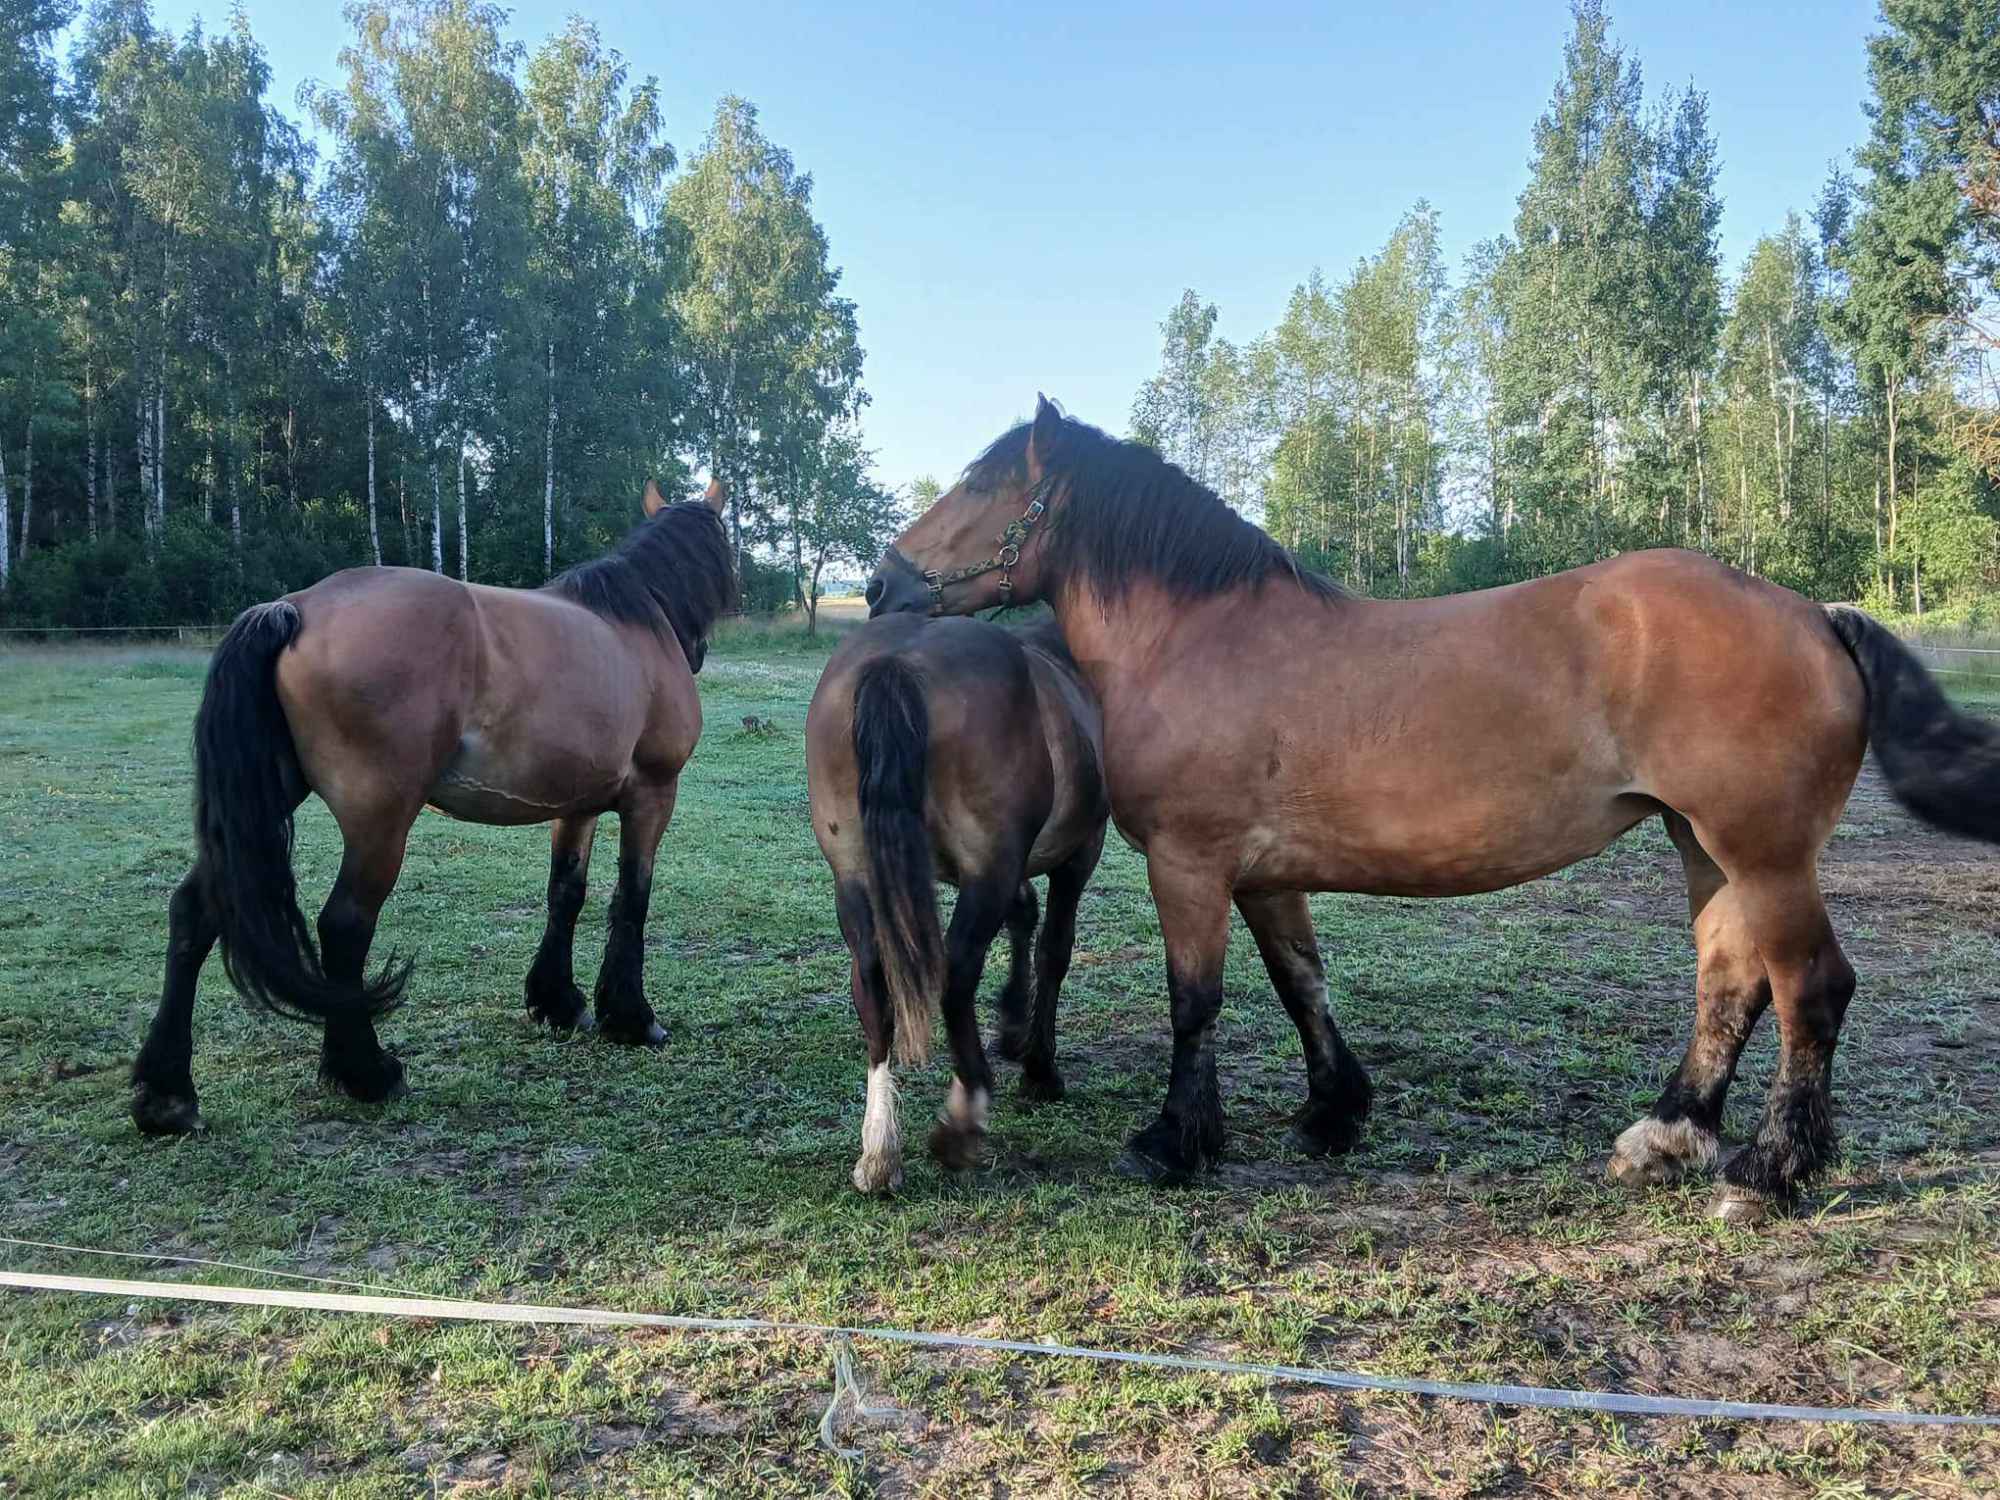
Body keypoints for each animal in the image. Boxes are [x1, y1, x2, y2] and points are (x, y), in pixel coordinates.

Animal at [133, 482, 744, 1136]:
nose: (699, 651)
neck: (635, 623)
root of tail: (292, 609)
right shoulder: (653, 794)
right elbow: (632, 899)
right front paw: (632, 1018)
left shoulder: (575, 805)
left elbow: (566, 894)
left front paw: (558, 1002)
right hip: (380, 822)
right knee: (344, 925)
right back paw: (367, 1072)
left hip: (263, 807)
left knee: (195, 912)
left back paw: (167, 1096)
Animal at [808, 612, 1112, 1200]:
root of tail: (898, 662)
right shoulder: (1075, 855)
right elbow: (1053, 948)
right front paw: (1039, 1067)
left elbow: (1025, 917)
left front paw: (1013, 1026)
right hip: (988, 871)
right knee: (956, 975)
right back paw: (964, 1118)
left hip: (854, 875)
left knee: (872, 985)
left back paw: (879, 1150)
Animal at [864, 396, 2000, 1224]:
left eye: (980, 482)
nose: (879, 586)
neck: (1200, 640)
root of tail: (1814, 614)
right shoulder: (1263, 876)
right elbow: (1300, 984)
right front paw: (1333, 1110)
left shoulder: (1188, 865)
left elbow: (1195, 1003)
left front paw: (1174, 1142)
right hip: (1704, 848)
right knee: (1728, 985)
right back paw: (1666, 1138)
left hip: (1761, 851)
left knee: (1810, 989)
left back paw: (1767, 1172)